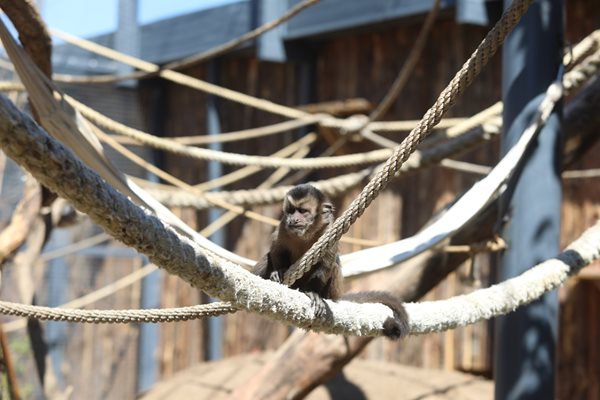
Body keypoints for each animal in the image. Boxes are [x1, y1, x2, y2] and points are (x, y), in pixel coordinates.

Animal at [251, 183, 410, 340]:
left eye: (302, 211)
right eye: (290, 211)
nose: (293, 219)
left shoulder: (327, 230)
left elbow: (326, 264)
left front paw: (313, 293)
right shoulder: (284, 227)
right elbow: (275, 251)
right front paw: (279, 271)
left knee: (334, 265)